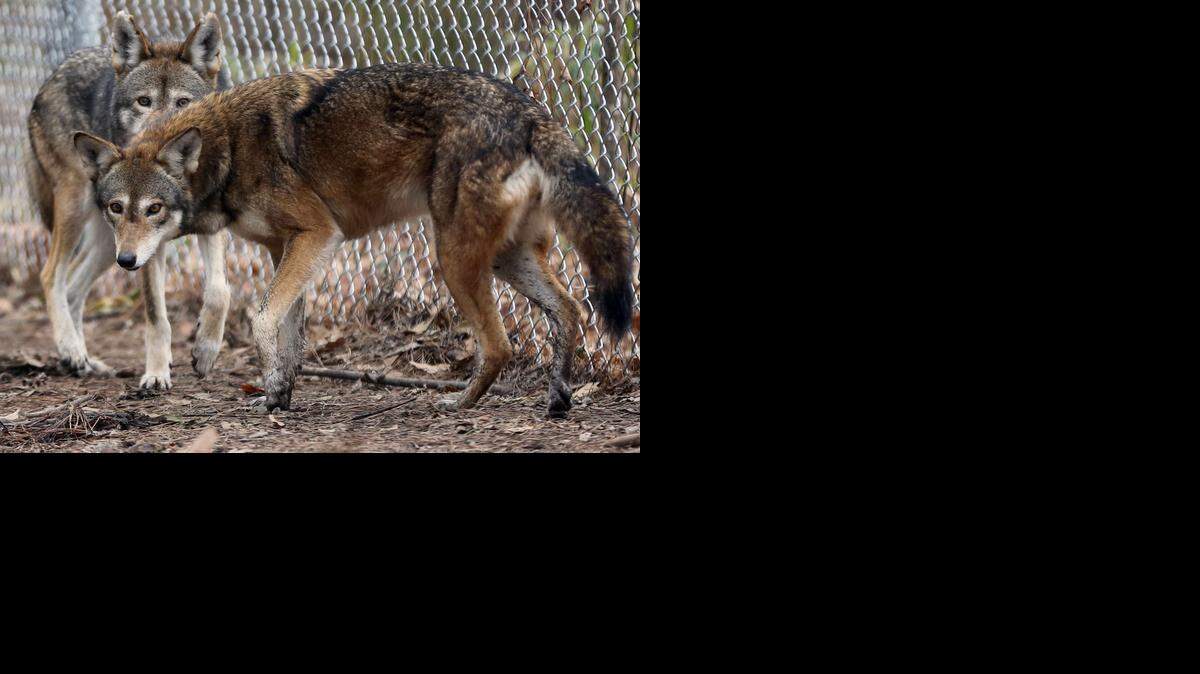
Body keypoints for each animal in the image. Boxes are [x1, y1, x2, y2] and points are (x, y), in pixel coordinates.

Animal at [28, 11, 231, 390]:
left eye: (183, 102)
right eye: (144, 101)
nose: (163, 136)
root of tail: (53, 74)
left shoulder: (208, 225)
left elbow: (219, 292)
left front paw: (205, 350)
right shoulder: (147, 248)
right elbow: (156, 316)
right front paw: (156, 372)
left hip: (111, 245)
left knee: (73, 288)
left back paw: (86, 361)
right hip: (82, 215)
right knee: (51, 276)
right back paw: (70, 350)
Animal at [72, 63, 635, 417]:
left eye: (154, 209)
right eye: (116, 209)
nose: (126, 260)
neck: (227, 148)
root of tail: (532, 112)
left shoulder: (318, 235)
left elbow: (262, 318)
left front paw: (270, 386)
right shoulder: (286, 248)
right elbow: (291, 335)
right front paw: (277, 398)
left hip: (453, 259)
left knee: (500, 345)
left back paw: (457, 405)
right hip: (504, 260)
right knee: (569, 310)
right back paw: (558, 399)